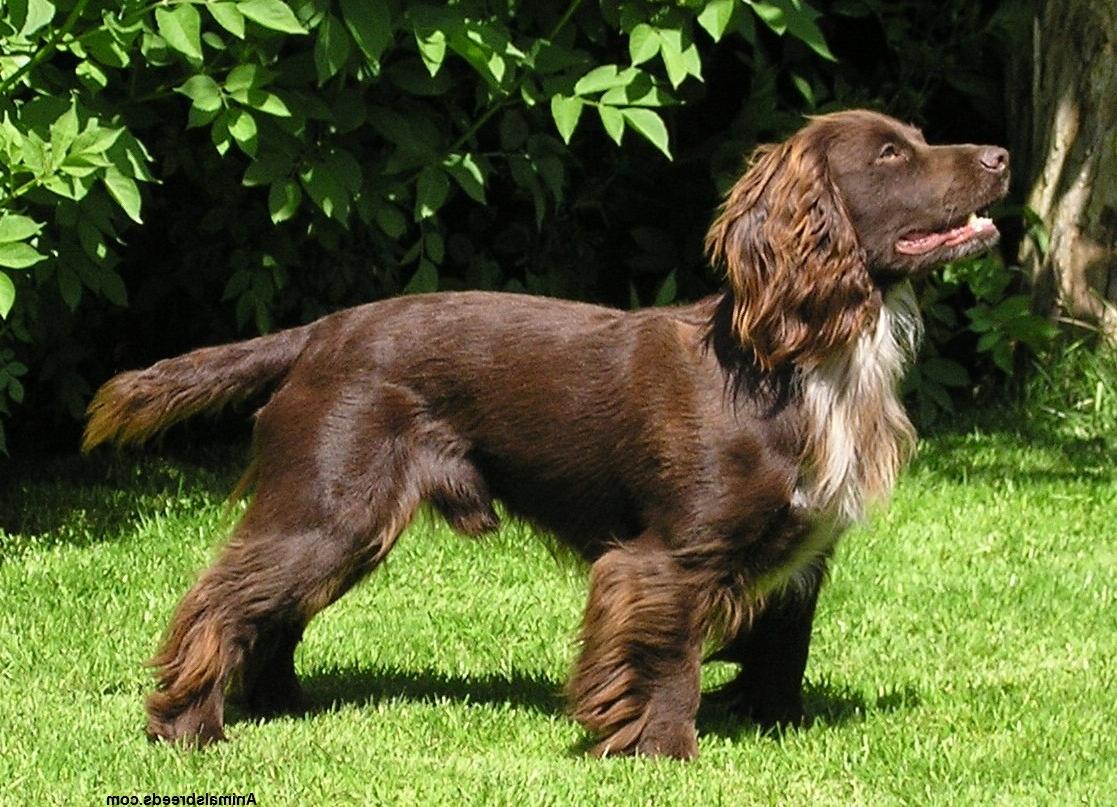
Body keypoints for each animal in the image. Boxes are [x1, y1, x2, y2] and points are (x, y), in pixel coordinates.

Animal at [84, 110, 1014, 755]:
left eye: (919, 138)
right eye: (889, 155)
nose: (1000, 157)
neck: (794, 356)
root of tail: (317, 333)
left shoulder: (804, 551)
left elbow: (783, 649)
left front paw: (777, 727)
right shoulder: (667, 557)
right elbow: (666, 656)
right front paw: (664, 751)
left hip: (341, 520)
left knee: (272, 609)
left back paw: (283, 705)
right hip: (328, 502)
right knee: (222, 600)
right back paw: (189, 726)